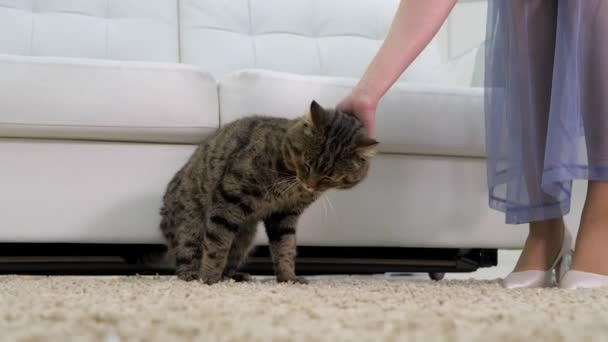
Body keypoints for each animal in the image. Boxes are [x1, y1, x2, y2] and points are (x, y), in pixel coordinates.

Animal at [163, 100, 380, 284]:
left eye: (329, 177)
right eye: (307, 164)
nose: (309, 185)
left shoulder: (284, 215)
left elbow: (285, 247)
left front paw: (288, 277)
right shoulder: (229, 197)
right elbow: (217, 243)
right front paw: (209, 278)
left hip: (245, 237)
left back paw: (234, 276)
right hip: (191, 224)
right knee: (184, 256)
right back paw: (193, 275)